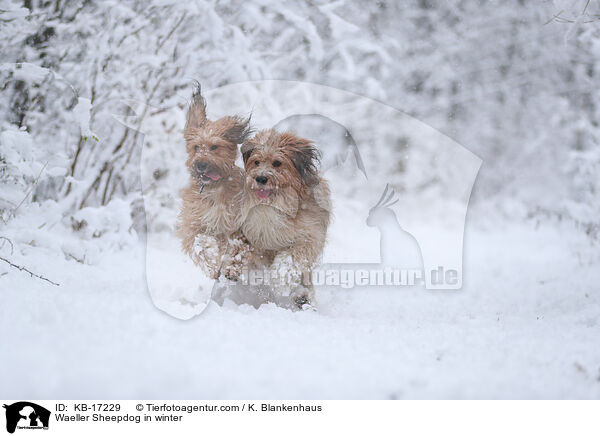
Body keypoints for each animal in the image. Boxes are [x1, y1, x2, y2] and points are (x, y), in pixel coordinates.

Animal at [178, 86, 253, 280]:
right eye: (196, 147)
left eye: (214, 147)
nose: (201, 164)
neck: (214, 189)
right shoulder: (193, 223)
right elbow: (197, 242)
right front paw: (211, 263)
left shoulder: (238, 226)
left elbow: (238, 248)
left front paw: (232, 269)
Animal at [240, 129, 332, 306]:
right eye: (256, 162)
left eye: (277, 163)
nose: (260, 178)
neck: (279, 204)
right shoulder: (259, 238)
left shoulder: (310, 236)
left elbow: (292, 256)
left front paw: (278, 278)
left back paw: (302, 297)